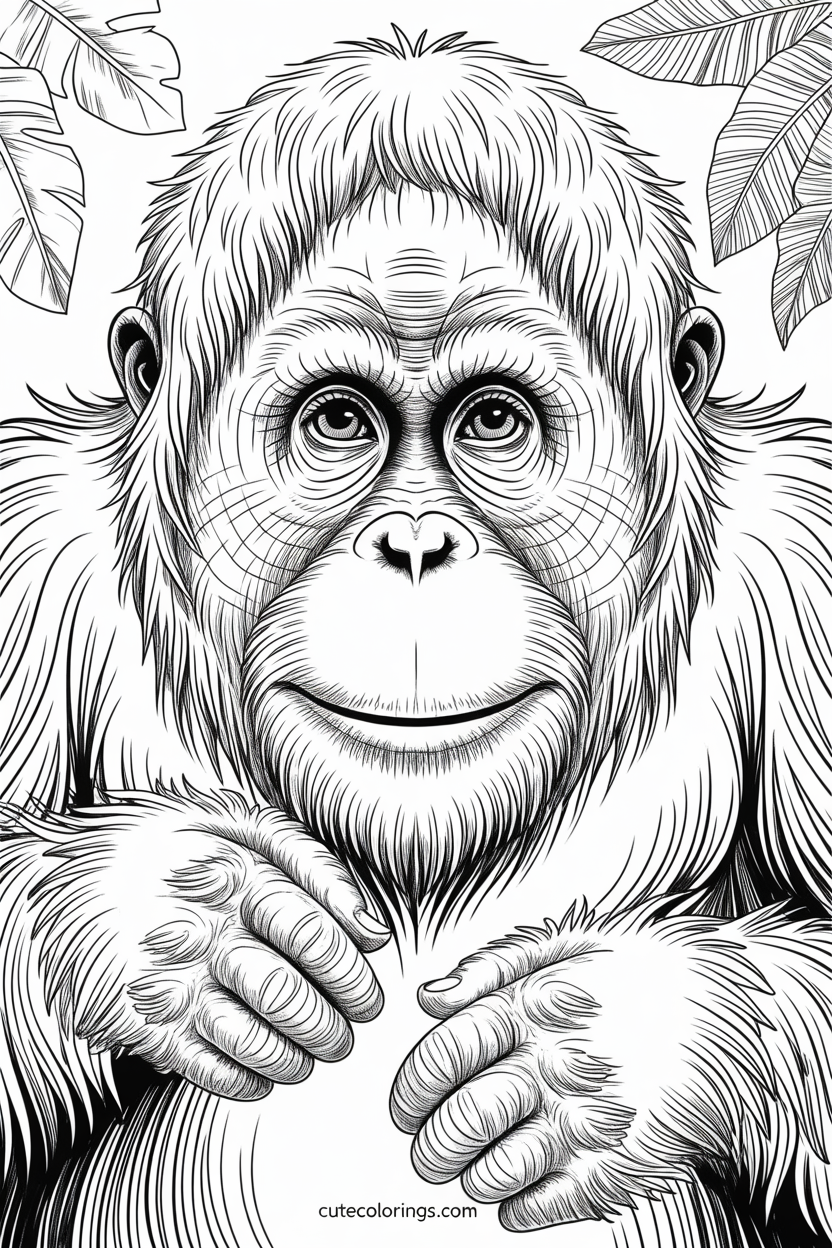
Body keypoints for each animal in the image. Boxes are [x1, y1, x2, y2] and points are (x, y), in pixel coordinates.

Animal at [1, 28, 830, 1248]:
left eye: (491, 418)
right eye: (341, 419)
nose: (416, 542)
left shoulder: (803, 555)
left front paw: (611, 1042)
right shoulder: (29, 542)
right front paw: (170, 918)